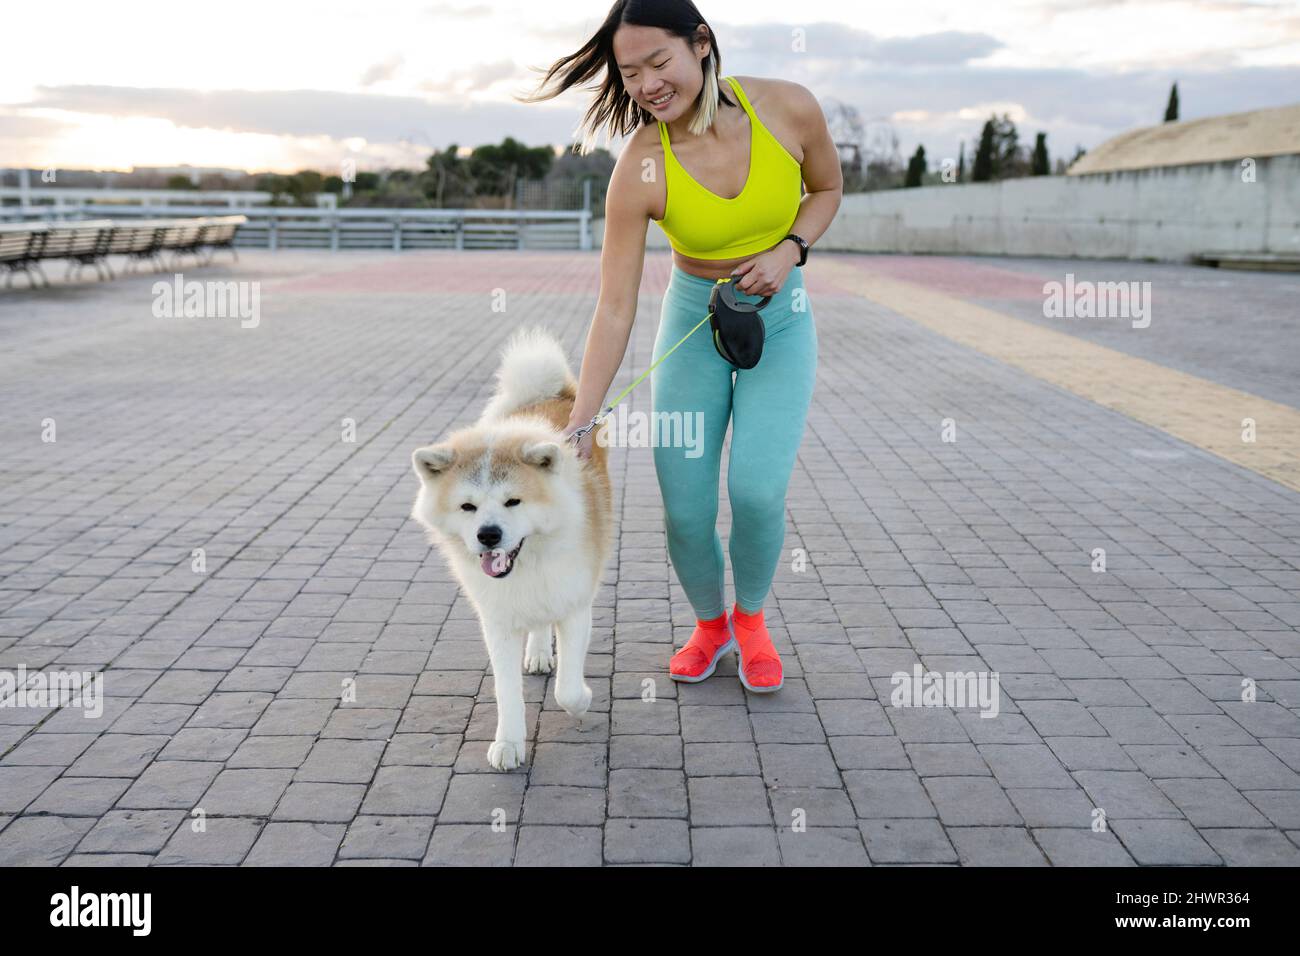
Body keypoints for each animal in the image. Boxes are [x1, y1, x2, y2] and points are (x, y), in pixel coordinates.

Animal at [408, 327, 611, 770]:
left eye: (513, 502)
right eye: (467, 507)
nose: (488, 535)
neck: (528, 564)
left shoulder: (575, 606)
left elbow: (568, 689)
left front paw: (582, 700)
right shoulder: (498, 619)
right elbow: (506, 692)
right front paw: (509, 743)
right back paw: (537, 653)